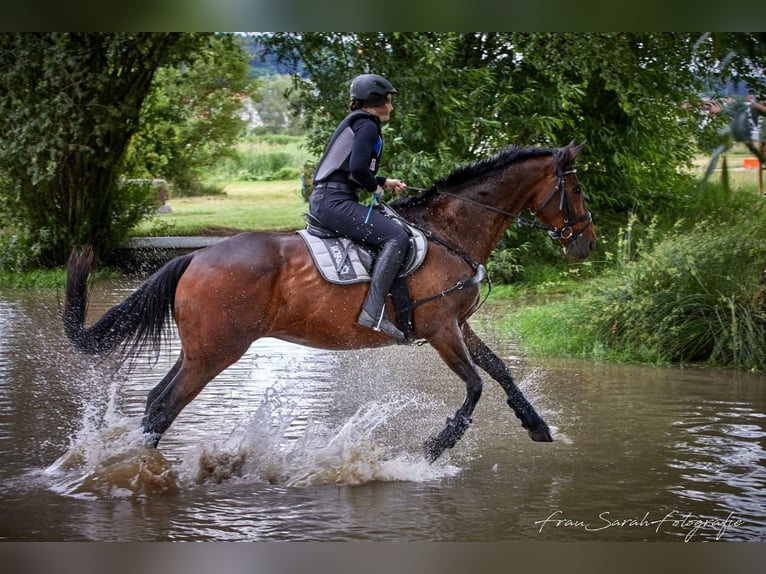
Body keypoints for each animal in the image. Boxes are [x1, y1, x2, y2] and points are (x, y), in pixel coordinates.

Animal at [63, 142, 596, 466]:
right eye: (575, 188)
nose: (586, 244)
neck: (451, 232)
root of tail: (194, 256)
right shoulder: (441, 329)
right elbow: (474, 389)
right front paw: (429, 451)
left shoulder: (458, 324)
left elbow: (500, 371)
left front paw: (537, 425)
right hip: (217, 352)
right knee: (163, 406)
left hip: (199, 350)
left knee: (156, 401)